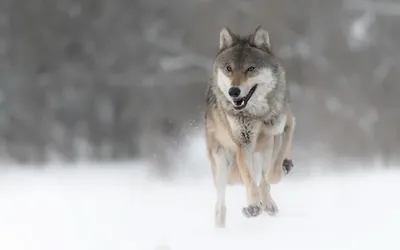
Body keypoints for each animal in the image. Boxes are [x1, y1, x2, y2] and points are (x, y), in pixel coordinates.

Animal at [205, 25, 296, 229]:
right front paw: (253, 207)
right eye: (229, 68)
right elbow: (250, 180)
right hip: (221, 164)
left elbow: (271, 175)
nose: (234, 91)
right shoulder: (243, 143)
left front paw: (266, 201)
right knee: (220, 206)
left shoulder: (285, 128)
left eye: (251, 69)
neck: (258, 115)